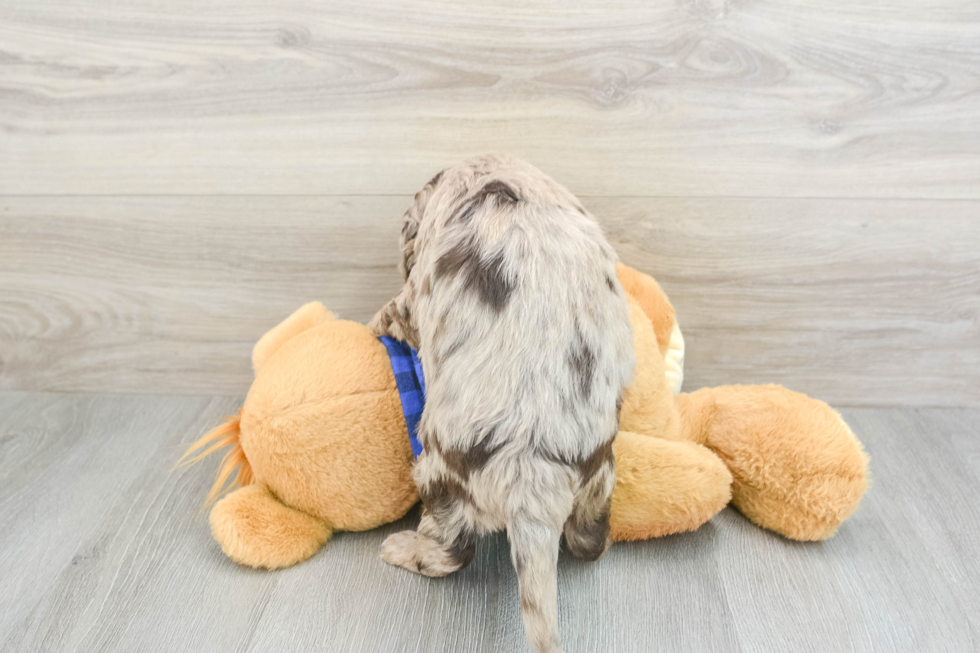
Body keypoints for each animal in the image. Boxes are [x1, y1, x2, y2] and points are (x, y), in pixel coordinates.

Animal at [370, 154, 636, 652]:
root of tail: (531, 472)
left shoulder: (414, 294)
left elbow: (396, 310)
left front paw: (374, 322)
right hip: (600, 474)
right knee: (587, 539)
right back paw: (602, 540)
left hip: (438, 472)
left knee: (453, 550)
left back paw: (405, 549)